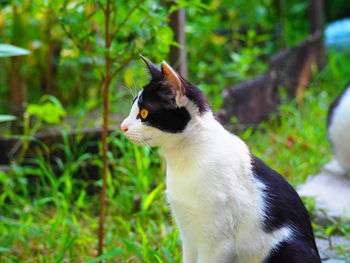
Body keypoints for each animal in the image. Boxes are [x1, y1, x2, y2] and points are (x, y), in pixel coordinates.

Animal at [120, 56, 320, 263]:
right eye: (133, 107)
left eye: (144, 113)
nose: (122, 126)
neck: (185, 159)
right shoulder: (188, 234)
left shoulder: (216, 244)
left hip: (287, 248)